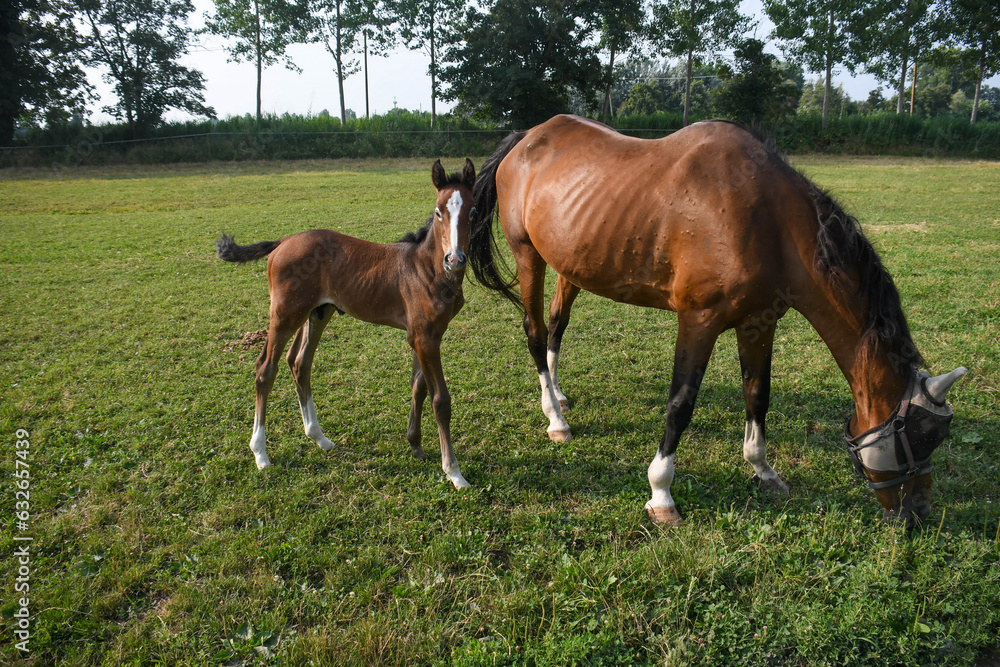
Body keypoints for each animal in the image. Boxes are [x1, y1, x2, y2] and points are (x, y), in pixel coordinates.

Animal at [216, 159, 477, 490]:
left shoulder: (422, 335)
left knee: (299, 362)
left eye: (472, 210)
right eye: (438, 211)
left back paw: (320, 438)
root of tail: (283, 242)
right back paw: (260, 453)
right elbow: (440, 400)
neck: (427, 269)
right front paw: (454, 472)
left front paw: (415, 445)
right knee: (266, 368)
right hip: (285, 314)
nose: (455, 259)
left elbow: (418, 386)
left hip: (318, 312)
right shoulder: (425, 338)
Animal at [467, 114, 966, 528]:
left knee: (556, 327)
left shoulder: (759, 323)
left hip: (571, 265)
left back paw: (557, 396)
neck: (767, 220)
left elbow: (758, 396)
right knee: (535, 333)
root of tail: (526, 138)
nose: (919, 513)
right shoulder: (699, 321)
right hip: (528, 256)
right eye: (922, 438)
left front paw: (763, 469)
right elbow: (680, 404)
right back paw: (554, 419)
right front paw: (661, 493)